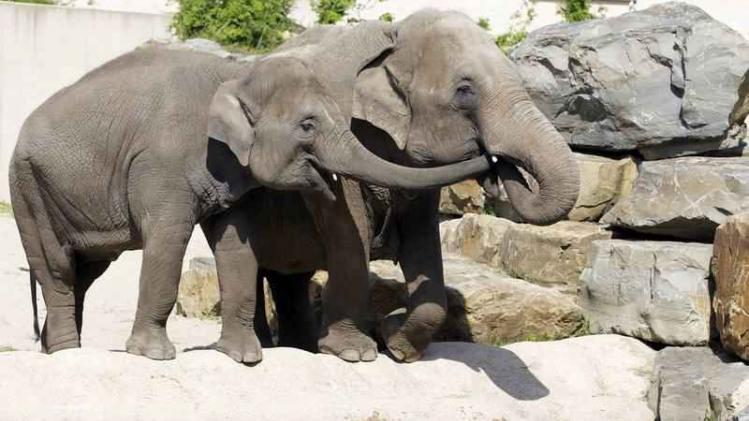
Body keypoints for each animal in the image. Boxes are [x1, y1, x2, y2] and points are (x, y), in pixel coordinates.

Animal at [10, 21, 489, 363]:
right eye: (308, 125)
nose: (490, 156)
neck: (235, 73)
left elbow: (236, 246)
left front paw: (241, 358)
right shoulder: (162, 164)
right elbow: (169, 239)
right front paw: (154, 356)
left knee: (84, 271)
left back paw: (59, 353)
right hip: (28, 189)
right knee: (56, 268)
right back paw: (69, 354)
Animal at [205, 10, 580, 364]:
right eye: (465, 91)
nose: (496, 164)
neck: (392, 36)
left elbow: (422, 239)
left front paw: (397, 345)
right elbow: (349, 232)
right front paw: (355, 352)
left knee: (290, 279)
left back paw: (301, 346)